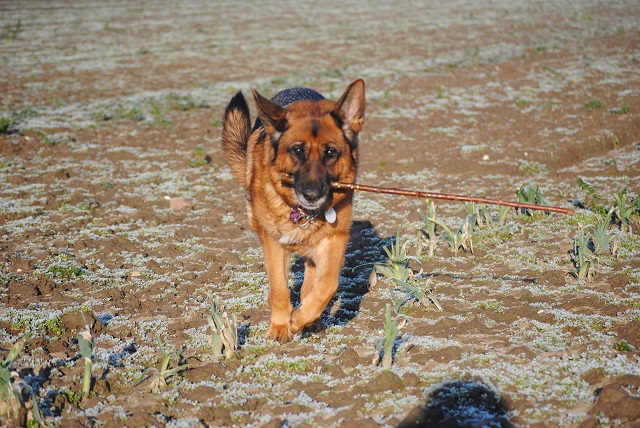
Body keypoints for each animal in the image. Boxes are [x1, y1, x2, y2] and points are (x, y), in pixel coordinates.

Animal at [221, 79, 365, 343]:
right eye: (297, 151)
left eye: (330, 152)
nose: (312, 194)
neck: (303, 214)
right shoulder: (274, 244)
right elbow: (279, 289)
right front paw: (281, 326)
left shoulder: (334, 240)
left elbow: (327, 284)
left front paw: (300, 318)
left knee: (311, 281)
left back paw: (311, 320)